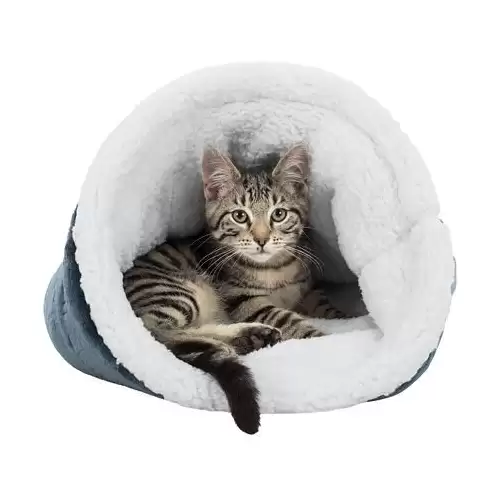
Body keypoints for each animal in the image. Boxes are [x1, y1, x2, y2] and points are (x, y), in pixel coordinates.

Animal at [123, 144, 349, 434]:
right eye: (240, 216)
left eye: (279, 214)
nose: (262, 240)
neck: (275, 269)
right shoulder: (243, 299)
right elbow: (286, 318)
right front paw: (324, 337)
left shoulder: (308, 290)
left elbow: (325, 307)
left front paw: (344, 317)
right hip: (178, 291)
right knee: (160, 334)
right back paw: (249, 335)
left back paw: (249, 339)